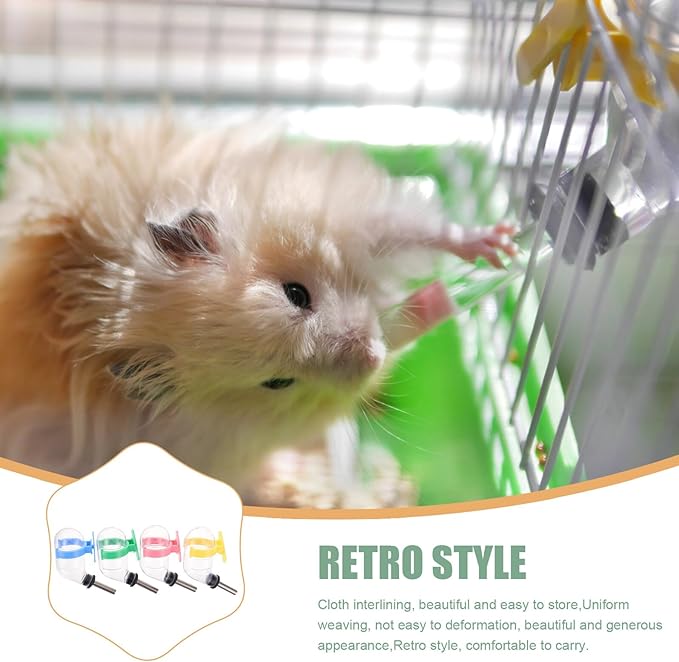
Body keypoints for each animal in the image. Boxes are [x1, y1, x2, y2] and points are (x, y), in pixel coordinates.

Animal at [0, 118, 515, 495]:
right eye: (277, 382)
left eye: (296, 293)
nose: (370, 356)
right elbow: (398, 337)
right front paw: (443, 296)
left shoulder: (345, 214)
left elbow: (411, 228)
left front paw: (498, 246)